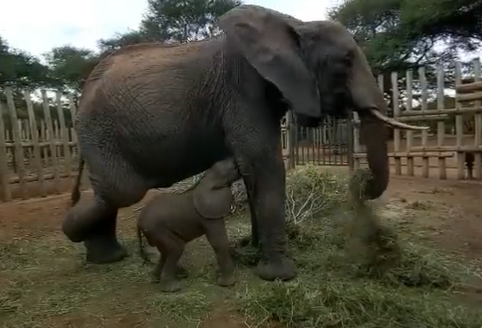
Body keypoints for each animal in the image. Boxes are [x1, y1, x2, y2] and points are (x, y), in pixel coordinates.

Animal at [136, 158, 241, 294]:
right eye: (234, 167)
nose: (236, 160)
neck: (209, 179)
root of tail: (138, 221)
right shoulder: (209, 216)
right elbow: (219, 242)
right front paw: (227, 284)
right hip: (157, 229)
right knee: (175, 249)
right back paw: (173, 289)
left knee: (165, 252)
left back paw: (155, 280)